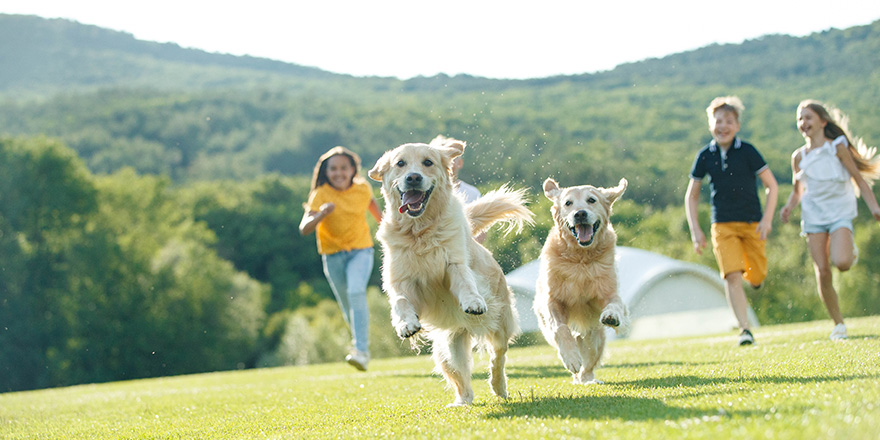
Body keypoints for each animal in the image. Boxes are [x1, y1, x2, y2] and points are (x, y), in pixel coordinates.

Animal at [368, 137, 532, 406]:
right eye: (400, 163)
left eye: (428, 162)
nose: (413, 177)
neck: (419, 231)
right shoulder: (400, 280)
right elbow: (400, 301)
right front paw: (405, 324)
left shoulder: (454, 263)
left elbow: (464, 281)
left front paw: (473, 301)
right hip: (447, 347)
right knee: (460, 376)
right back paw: (462, 401)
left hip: (500, 322)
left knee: (498, 357)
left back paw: (499, 387)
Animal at [532, 177, 628, 384]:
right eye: (568, 203)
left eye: (591, 200)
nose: (580, 214)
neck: (580, 259)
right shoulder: (552, 300)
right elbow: (560, 329)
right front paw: (571, 357)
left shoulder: (608, 292)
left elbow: (615, 304)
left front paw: (612, 316)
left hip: (595, 337)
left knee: (588, 366)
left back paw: (588, 380)